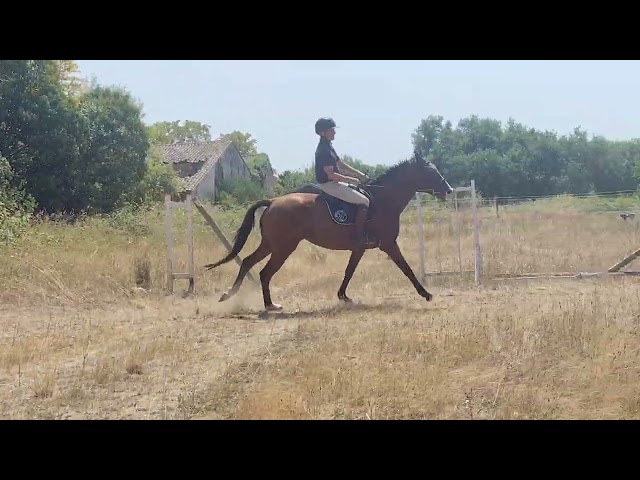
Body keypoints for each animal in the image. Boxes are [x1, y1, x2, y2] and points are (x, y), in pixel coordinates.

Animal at [204, 151, 454, 311]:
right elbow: (406, 268)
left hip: (271, 244)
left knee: (248, 262)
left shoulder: (359, 248)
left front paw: (343, 296)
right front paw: (426, 294)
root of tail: (273, 201)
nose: (449, 190)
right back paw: (268, 305)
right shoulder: (388, 244)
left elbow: (349, 271)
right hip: (283, 247)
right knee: (265, 272)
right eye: (431, 172)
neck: (384, 200)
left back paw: (233, 295)